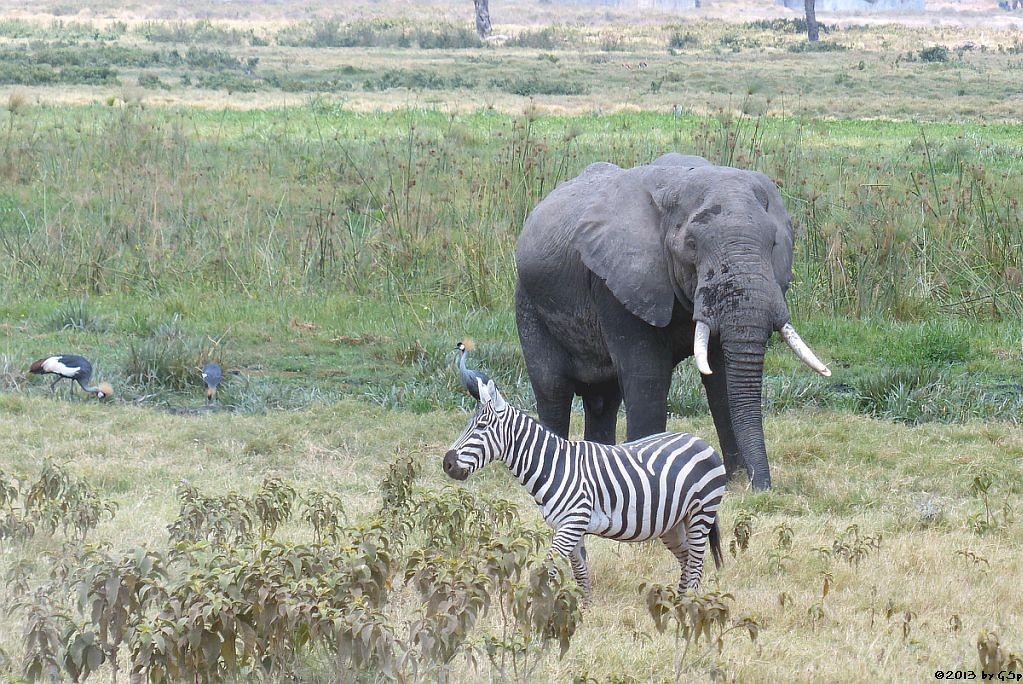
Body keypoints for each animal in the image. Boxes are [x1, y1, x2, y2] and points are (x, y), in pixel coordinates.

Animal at [441, 378, 728, 597]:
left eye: (480, 426)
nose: (447, 463)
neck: (554, 466)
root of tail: (701, 441)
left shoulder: (573, 522)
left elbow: (549, 567)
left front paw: (541, 609)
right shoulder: (567, 526)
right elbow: (579, 572)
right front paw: (583, 610)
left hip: (701, 513)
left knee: (696, 562)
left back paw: (688, 605)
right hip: (672, 522)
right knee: (687, 559)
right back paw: (680, 603)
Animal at [511, 152, 830, 488]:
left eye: (773, 244)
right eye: (691, 245)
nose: (761, 488)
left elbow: (722, 379)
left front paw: (734, 480)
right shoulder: (616, 284)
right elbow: (647, 376)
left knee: (603, 399)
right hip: (528, 302)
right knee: (553, 389)